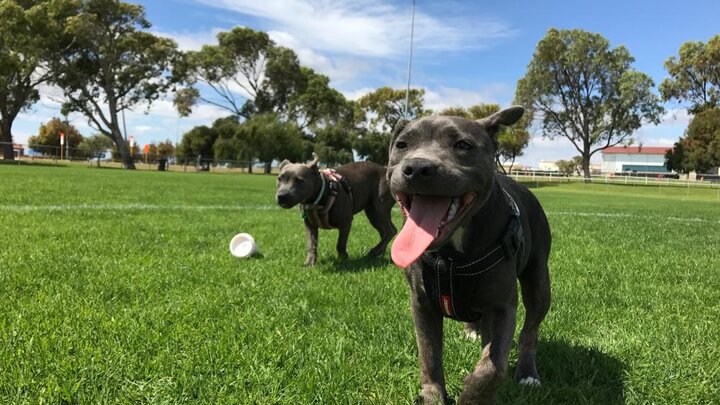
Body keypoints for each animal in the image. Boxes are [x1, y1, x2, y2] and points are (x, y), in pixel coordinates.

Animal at [388, 105, 552, 402]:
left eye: (463, 145)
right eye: (402, 145)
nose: (417, 167)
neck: (452, 256)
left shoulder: (502, 307)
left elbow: (492, 368)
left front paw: (472, 396)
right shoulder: (421, 303)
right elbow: (429, 356)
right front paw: (433, 396)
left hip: (539, 283)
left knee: (530, 331)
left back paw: (527, 373)